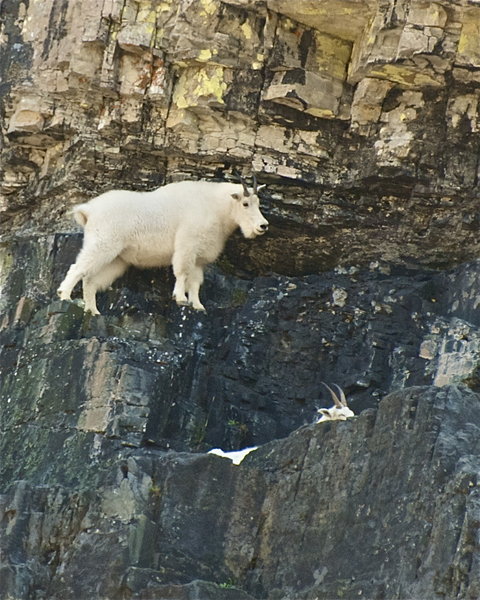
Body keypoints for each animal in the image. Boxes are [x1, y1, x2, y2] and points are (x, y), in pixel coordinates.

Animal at [56, 176, 270, 314]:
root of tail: (88, 210)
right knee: (78, 267)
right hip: (103, 243)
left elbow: (195, 282)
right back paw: (64, 295)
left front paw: (198, 306)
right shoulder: (186, 245)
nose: (263, 226)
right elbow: (182, 272)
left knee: (90, 279)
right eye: (245, 203)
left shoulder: (199, 258)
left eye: (258, 202)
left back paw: (93, 311)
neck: (216, 207)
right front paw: (180, 298)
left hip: (116, 258)